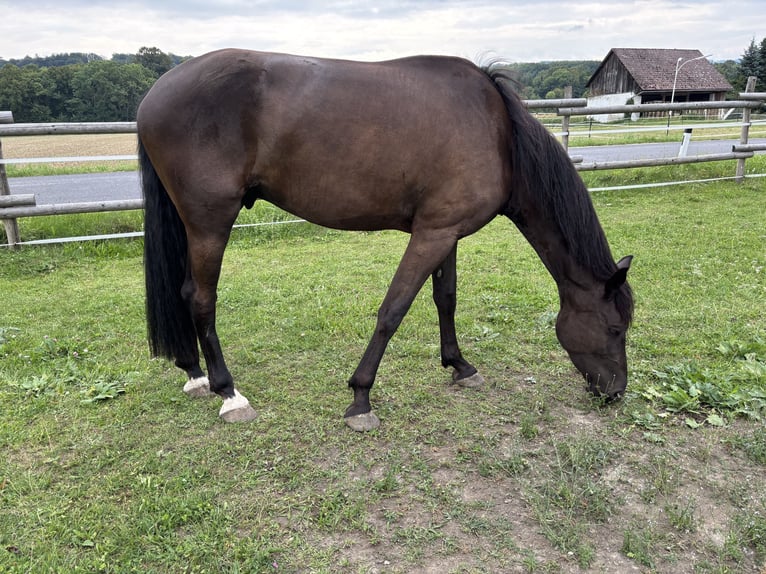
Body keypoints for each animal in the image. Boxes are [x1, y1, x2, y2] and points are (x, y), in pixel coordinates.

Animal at [136, 49, 634, 431]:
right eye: (615, 328)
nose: (615, 393)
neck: (500, 135)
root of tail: (154, 94)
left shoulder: (446, 232)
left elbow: (445, 298)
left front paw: (460, 366)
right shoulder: (431, 235)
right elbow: (393, 310)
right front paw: (360, 398)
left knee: (184, 293)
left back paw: (195, 373)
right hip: (210, 221)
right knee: (201, 298)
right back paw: (229, 393)